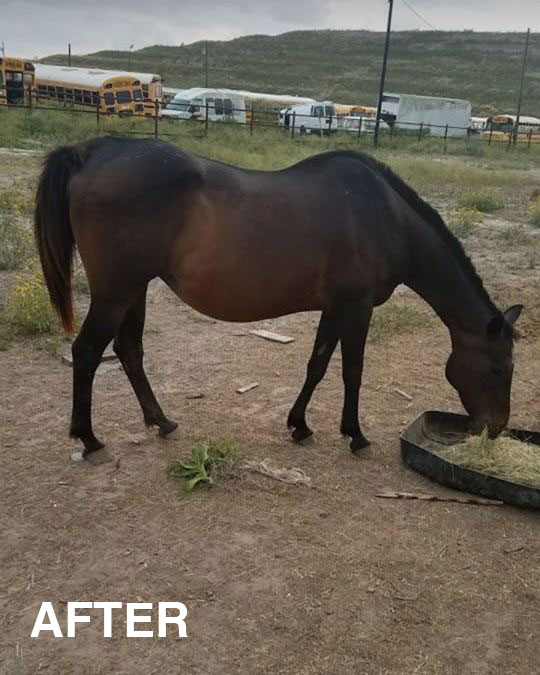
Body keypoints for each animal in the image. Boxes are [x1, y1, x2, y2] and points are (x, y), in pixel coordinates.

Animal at [34, 137, 522, 460]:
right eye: (499, 368)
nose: (496, 428)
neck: (386, 218)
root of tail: (92, 152)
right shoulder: (358, 306)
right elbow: (352, 371)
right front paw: (356, 435)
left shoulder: (336, 307)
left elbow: (318, 364)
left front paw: (300, 425)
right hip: (115, 294)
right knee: (87, 352)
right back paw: (88, 439)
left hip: (133, 291)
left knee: (129, 351)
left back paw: (162, 421)